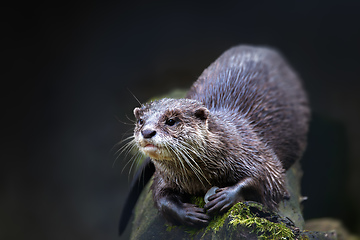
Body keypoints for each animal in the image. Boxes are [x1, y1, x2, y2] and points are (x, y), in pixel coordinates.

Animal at [117, 45, 310, 234]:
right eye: (140, 121)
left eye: (171, 121)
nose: (147, 131)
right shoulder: (164, 176)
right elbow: (161, 197)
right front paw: (188, 213)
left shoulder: (254, 150)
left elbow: (267, 178)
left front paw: (226, 197)